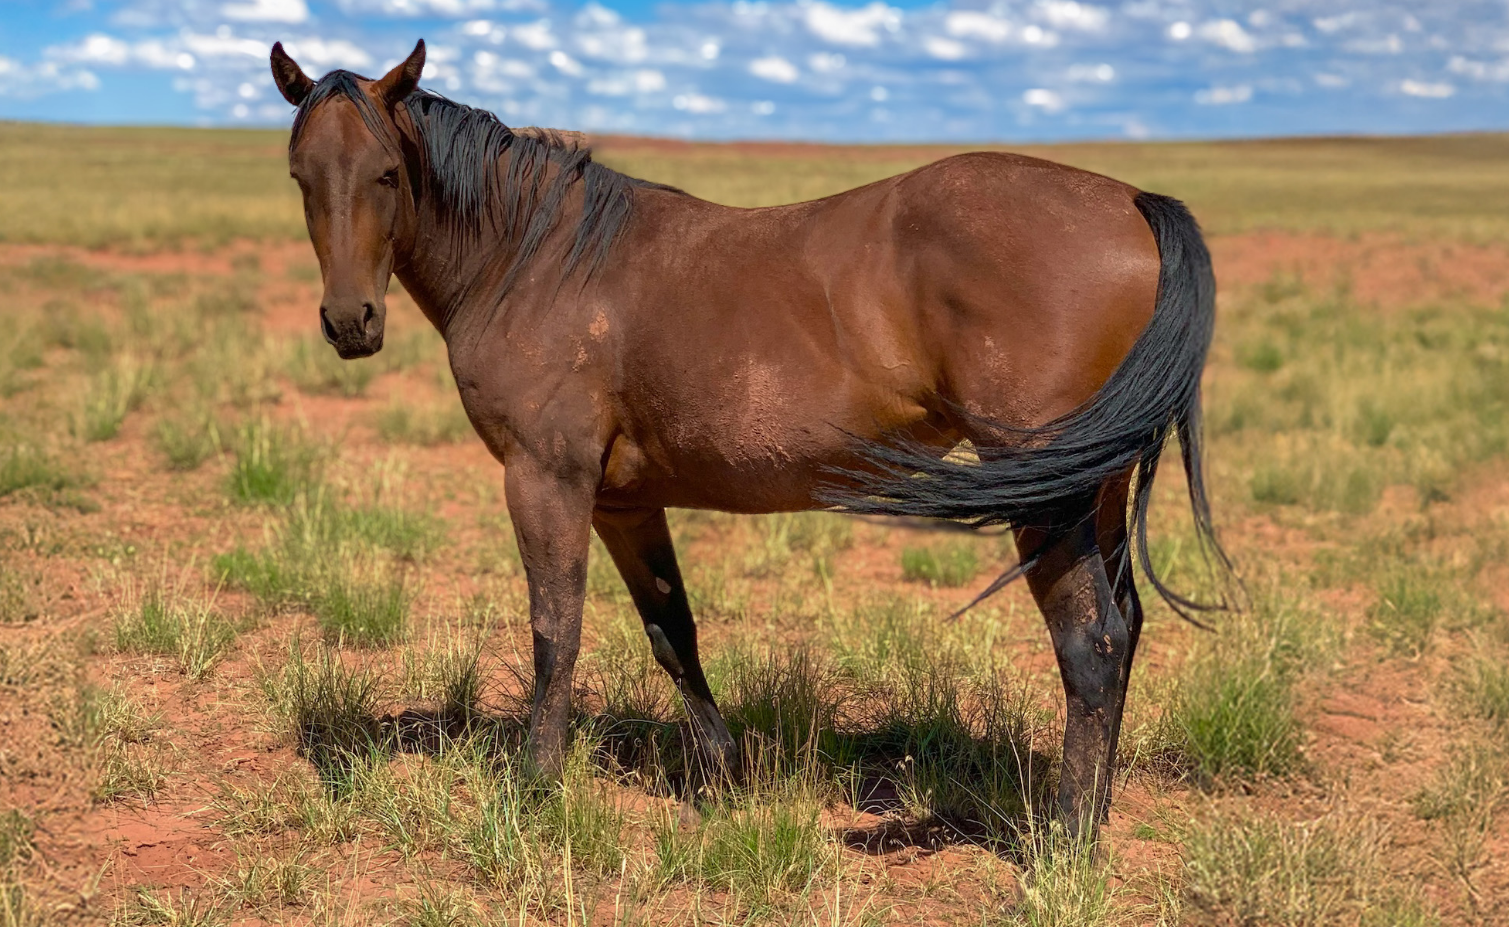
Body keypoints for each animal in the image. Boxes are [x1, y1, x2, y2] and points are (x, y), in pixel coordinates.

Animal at [269, 38, 1228, 838]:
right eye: (299, 175)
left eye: (387, 173)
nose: (349, 323)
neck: (535, 260)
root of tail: (1130, 202)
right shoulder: (622, 501)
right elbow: (670, 630)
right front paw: (724, 775)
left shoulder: (546, 480)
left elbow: (555, 630)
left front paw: (536, 787)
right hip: (1095, 486)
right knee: (1124, 627)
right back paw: (1093, 810)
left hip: (1046, 492)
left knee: (1090, 643)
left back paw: (1065, 837)